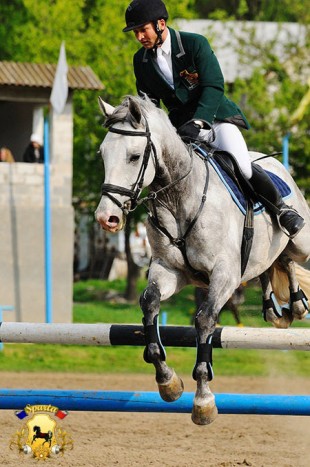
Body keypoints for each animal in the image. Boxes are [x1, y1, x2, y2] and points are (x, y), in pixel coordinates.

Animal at [95, 93, 310, 426]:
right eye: (103, 154)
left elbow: (205, 320)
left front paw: (203, 401)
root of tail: (274, 162)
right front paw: (168, 382)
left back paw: (297, 303)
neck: (178, 197)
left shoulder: (224, 276)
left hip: (301, 241)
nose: (107, 218)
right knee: (273, 263)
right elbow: (149, 303)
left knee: (289, 254)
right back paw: (276, 309)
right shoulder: (169, 270)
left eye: (133, 156)